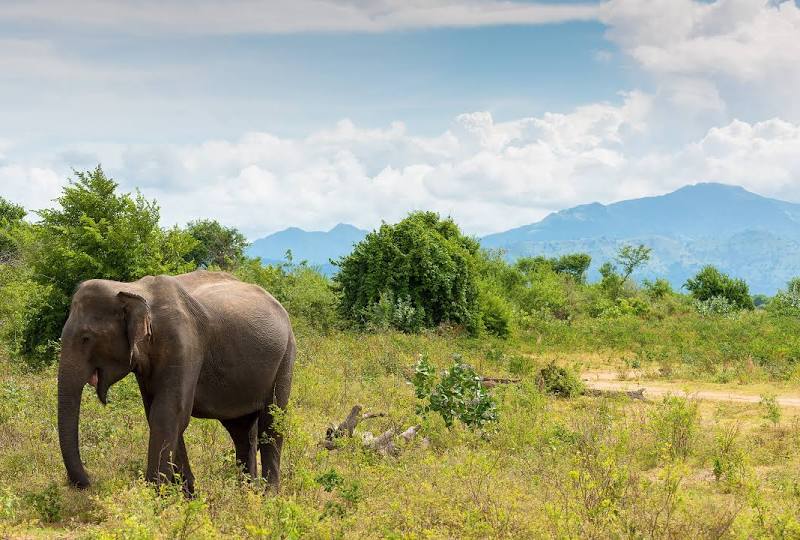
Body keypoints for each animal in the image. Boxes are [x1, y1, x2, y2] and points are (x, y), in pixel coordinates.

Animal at [57, 270, 294, 494]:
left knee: (272, 422)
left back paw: (268, 496)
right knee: (242, 430)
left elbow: (169, 413)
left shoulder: (183, 344)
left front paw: (155, 498)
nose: (88, 482)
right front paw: (187, 496)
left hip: (286, 356)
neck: (131, 288)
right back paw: (247, 493)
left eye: (86, 338)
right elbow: (159, 414)